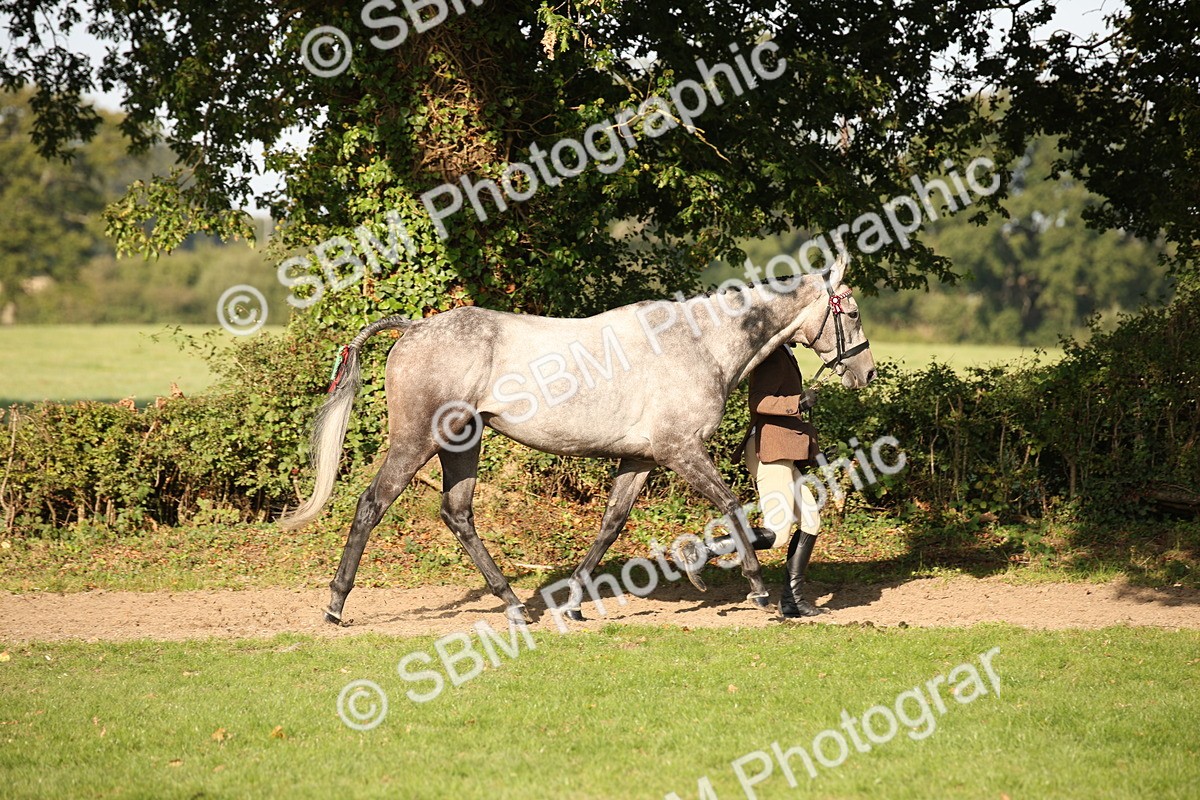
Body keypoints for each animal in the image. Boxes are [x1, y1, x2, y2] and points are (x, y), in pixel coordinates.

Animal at [279, 255, 876, 625]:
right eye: (851, 310)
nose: (865, 373)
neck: (700, 342)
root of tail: (414, 329)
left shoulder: (640, 459)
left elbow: (610, 526)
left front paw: (574, 604)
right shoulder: (680, 451)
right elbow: (731, 506)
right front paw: (754, 588)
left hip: (463, 443)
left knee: (457, 513)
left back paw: (515, 605)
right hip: (417, 440)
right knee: (372, 505)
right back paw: (336, 606)